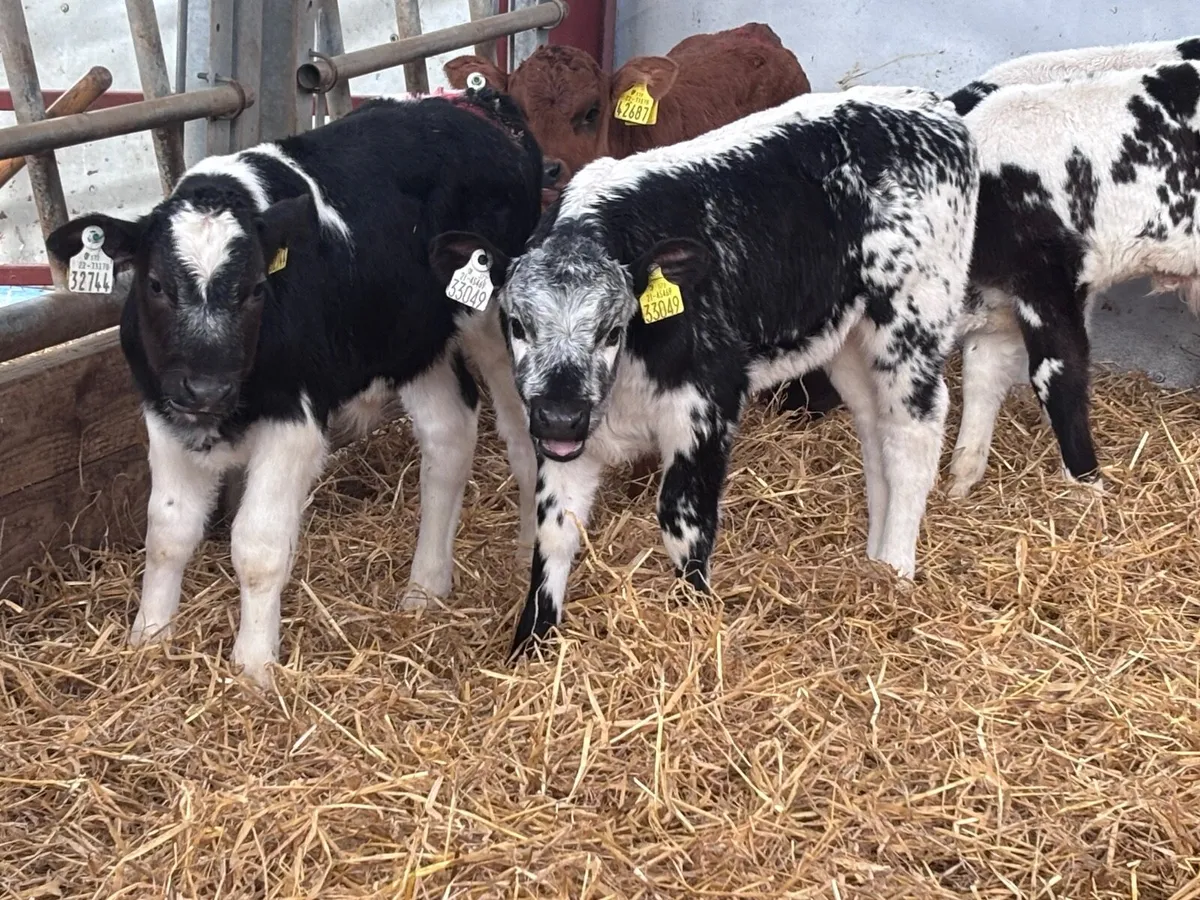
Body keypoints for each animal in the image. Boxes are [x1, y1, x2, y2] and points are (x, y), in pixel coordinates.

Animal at [45, 88, 544, 687]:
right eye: (156, 284)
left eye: (258, 288)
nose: (206, 388)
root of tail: (480, 105)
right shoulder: (163, 411)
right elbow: (167, 531)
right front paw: (149, 639)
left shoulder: (294, 421)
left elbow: (257, 546)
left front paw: (253, 666)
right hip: (413, 339)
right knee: (448, 434)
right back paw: (425, 590)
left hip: (495, 321)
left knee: (524, 439)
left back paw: (526, 547)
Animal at [429, 85, 981, 657]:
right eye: (517, 323)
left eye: (611, 329)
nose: (561, 417)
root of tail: (924, 102)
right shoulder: (560, 434)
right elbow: (555, 531)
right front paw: (530, 647)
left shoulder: (709, 401)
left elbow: (682, 521)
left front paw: (692, 619)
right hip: (847, 338)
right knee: (875, 428)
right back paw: (874, 562)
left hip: (914, 317)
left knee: (913, 431)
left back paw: (897, 569)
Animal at [946, 61, 1200, 497]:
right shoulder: (1002, 300)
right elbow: (980, 374)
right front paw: (960, 478)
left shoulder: (1048, 280)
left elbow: (1057, 374)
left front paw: (1089, 484)